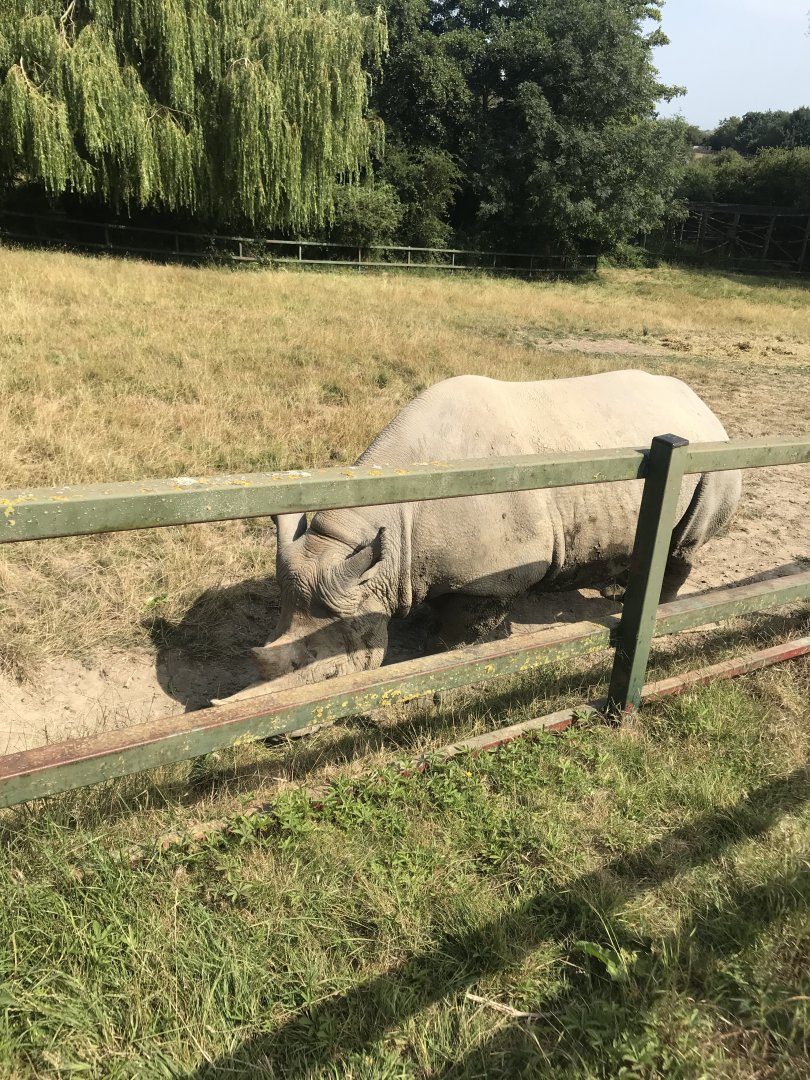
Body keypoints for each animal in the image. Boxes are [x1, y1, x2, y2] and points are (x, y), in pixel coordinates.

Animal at [243, 370, 741, 694]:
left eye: (329, 673)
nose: (277, 738)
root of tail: (703, 404)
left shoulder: (490, 579)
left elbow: (464, 627)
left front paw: (443, 652)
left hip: (711, 460)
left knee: (684, 542)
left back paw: (655, 606)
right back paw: (616, 591)